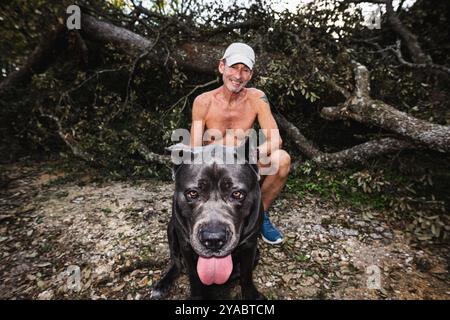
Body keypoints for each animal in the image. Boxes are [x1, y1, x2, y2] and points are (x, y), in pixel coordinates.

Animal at [152, 141, 264, 298]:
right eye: (192, 193)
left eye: (237, 194)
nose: (213, 239)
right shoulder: (186, 246)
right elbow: (194, 276)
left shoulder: (250, 245)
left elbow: (246, 275)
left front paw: (251, 295)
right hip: (171, 229)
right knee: (176, 262)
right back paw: (162, 285)